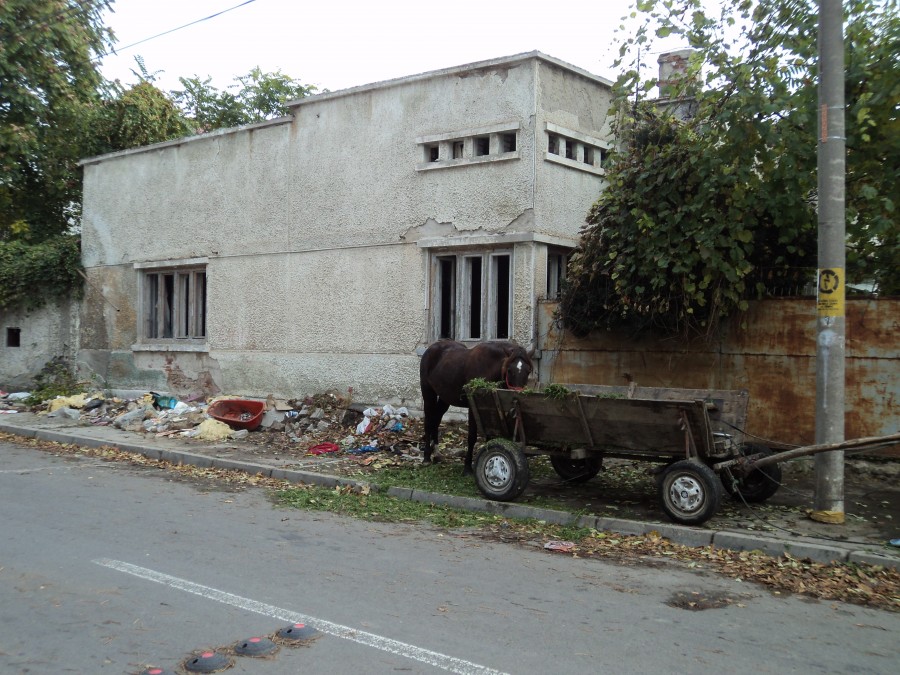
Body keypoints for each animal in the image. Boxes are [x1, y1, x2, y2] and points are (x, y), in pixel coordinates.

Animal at [422, 338, 536, 476]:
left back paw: (437, 453)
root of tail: (432, 348)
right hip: (428, 393)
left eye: (528, 370)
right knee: (428, 422)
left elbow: (491, 436)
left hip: (445, 398)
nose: (516, 396)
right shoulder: (473, 408)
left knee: (436, 420)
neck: (489, 367)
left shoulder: (491, 408)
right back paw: (426, 457)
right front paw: (467, 467)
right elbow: (472, 437)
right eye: (509, 370)